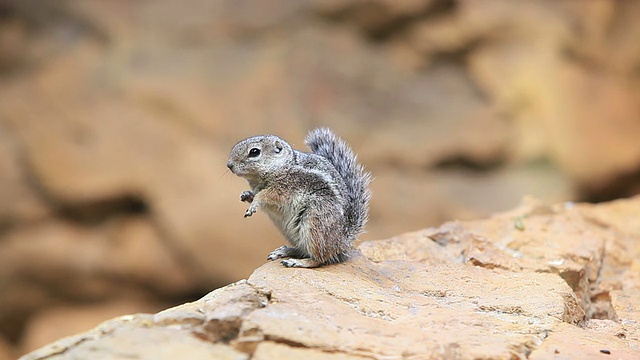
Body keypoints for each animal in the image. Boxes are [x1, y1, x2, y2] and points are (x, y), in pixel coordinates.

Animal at [228, 127, 372, 268]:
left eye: (254, 152)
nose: (229, 165)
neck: (283, 165)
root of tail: (343, 240)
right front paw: (246, 195)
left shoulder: (285, 187)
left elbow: (265, 195)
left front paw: (253, 204)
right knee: (303, 250)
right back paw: (284, 251)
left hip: (314, 225)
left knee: (319, 258)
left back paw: (297, 262)